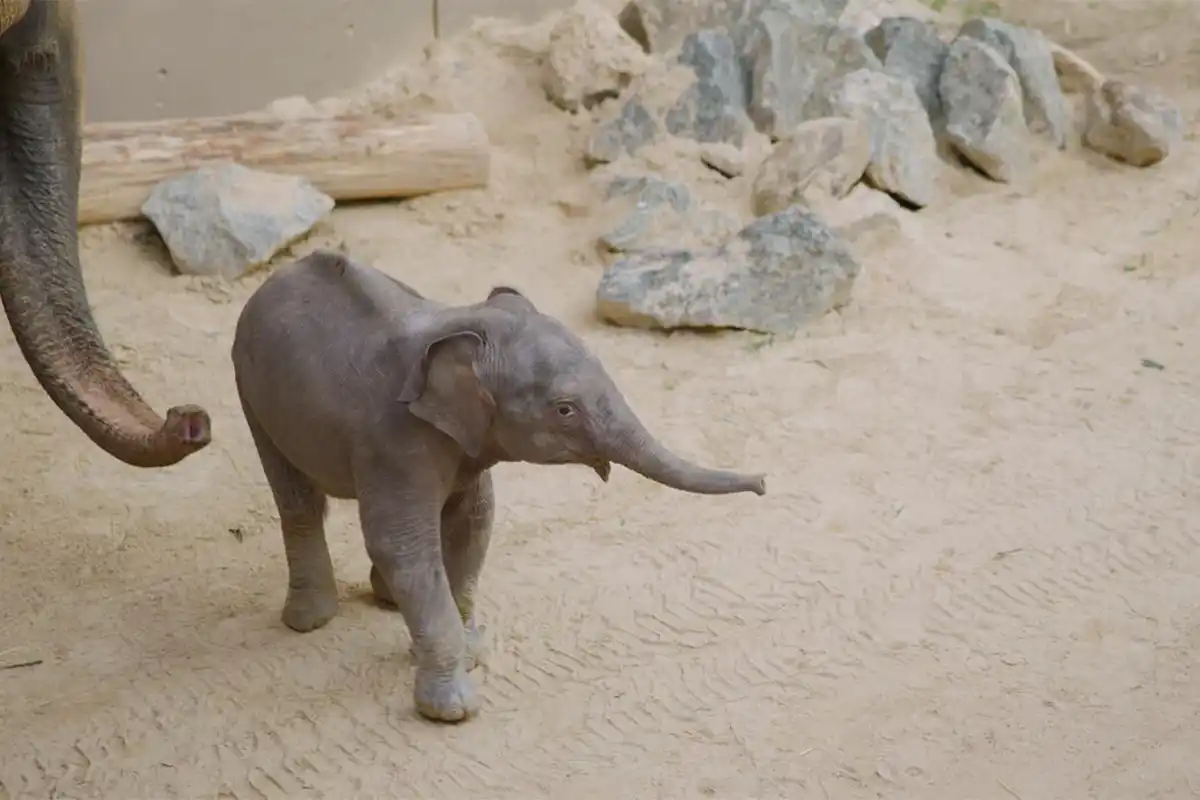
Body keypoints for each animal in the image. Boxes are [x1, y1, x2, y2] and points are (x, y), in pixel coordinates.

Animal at [231, 249, 766, 723]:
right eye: (564, 409)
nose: (763, 481)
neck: (461, 322)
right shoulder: (394, 436)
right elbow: (401, 544)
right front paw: (453, 710)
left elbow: (474, 523)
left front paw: (472, 653)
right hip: (249, 390)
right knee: (297, 500)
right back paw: (310, 620)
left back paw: (385, 600)